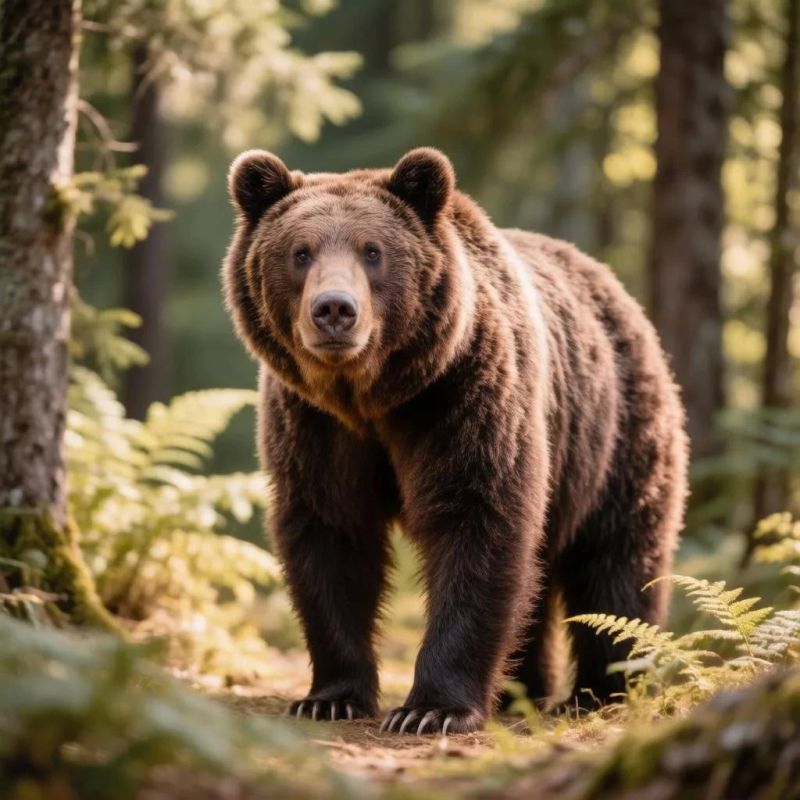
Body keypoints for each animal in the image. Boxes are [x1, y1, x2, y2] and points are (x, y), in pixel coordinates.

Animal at [223, 147, 688, 735]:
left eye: (372, 251)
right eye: (300, 252)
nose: (334, 310)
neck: (372, 398)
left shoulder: (463, 395)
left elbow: (477, 521)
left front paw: (431, 709)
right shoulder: (314, 424)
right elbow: (330, 534)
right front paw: (330, 696)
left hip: (613, 433)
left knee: (616, 561)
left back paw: (600, 690)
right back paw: (521, 690)